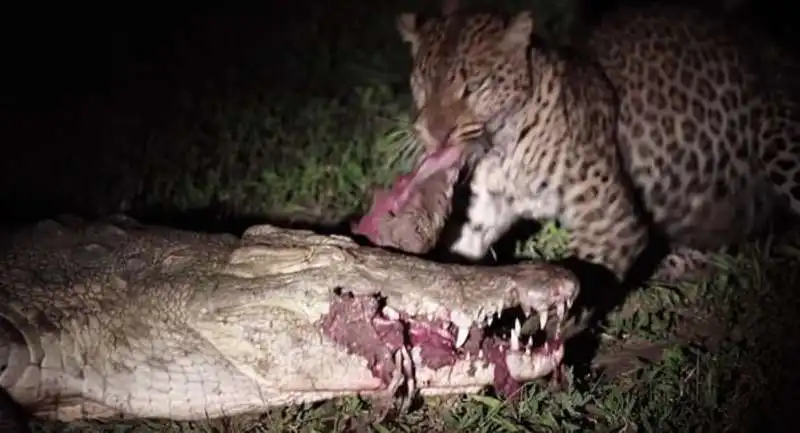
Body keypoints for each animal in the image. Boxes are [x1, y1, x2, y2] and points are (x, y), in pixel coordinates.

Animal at [394, 3, 800, 286]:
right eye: (422, 85)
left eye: (474, 87)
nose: (434, 134)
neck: (502, 151)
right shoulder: (484, 213)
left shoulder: (610, 222)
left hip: (778, 144)